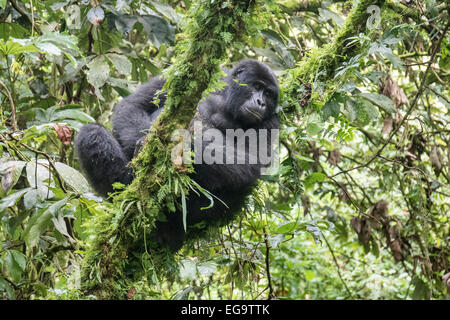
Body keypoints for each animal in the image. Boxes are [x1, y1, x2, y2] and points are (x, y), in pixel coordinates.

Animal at [74, 59, 278, 250]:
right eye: (257, 86)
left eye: (268, 94)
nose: (261, 102)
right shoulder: (175, 76)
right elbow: (133, 106)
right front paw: (143, 144)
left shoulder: (272, 121)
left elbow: (251, 161)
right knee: (91, 134)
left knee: (241, 185)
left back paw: (171, 224)